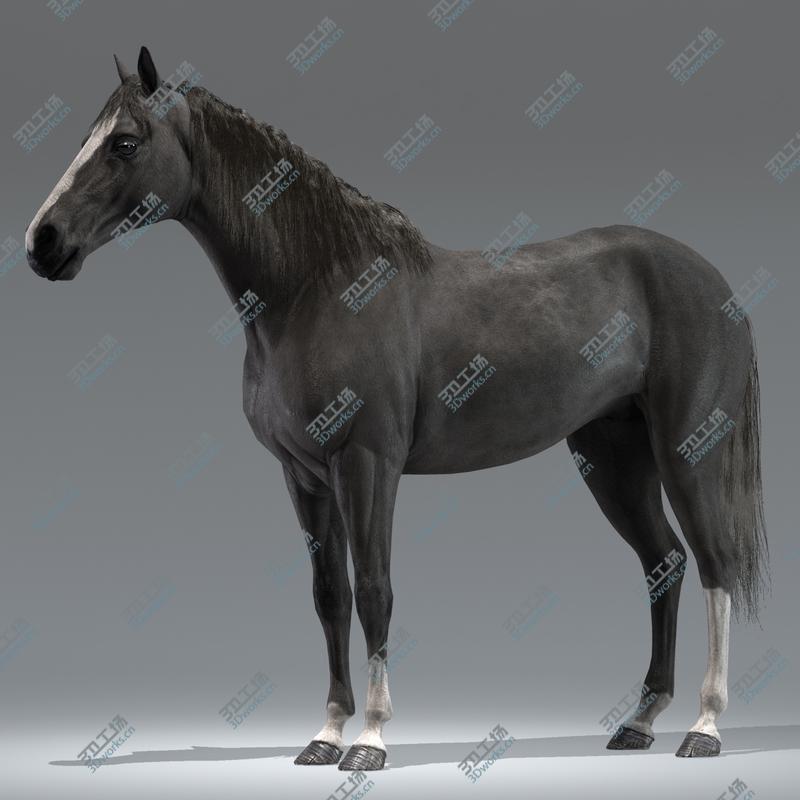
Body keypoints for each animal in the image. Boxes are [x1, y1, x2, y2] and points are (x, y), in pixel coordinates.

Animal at [25, 47, 768, 771]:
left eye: (124, 142)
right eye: (86, 136)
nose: (42, 241)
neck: (315, 288)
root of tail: (714, 282)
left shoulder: (367, 464)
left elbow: (375, 589)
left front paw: (372, 740)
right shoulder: (303, 476)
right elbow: (330, 595)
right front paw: (326, 736)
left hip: (687, 453)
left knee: (715, 565)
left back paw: (704, 728)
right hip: (611, 458)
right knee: (663, 563)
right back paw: (639, 722)